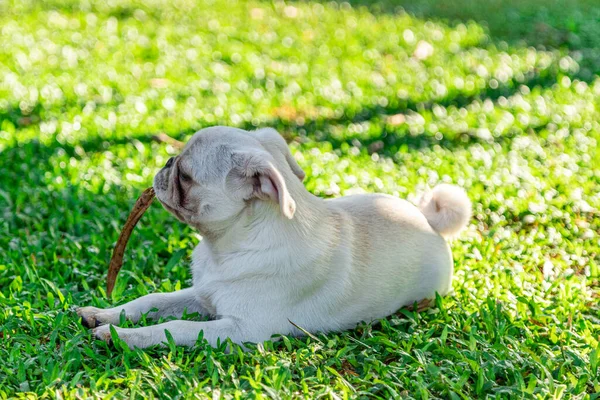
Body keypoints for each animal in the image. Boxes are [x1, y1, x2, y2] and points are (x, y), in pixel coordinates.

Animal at [75, 126, 472, 348]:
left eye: (185, 175)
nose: (167, 162)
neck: (224, 248)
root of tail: (428, 220)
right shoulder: (203, 295)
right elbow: (151, 301)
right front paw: (104, 315)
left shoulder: (241, 329)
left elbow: (174, 327)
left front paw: (121, 337)